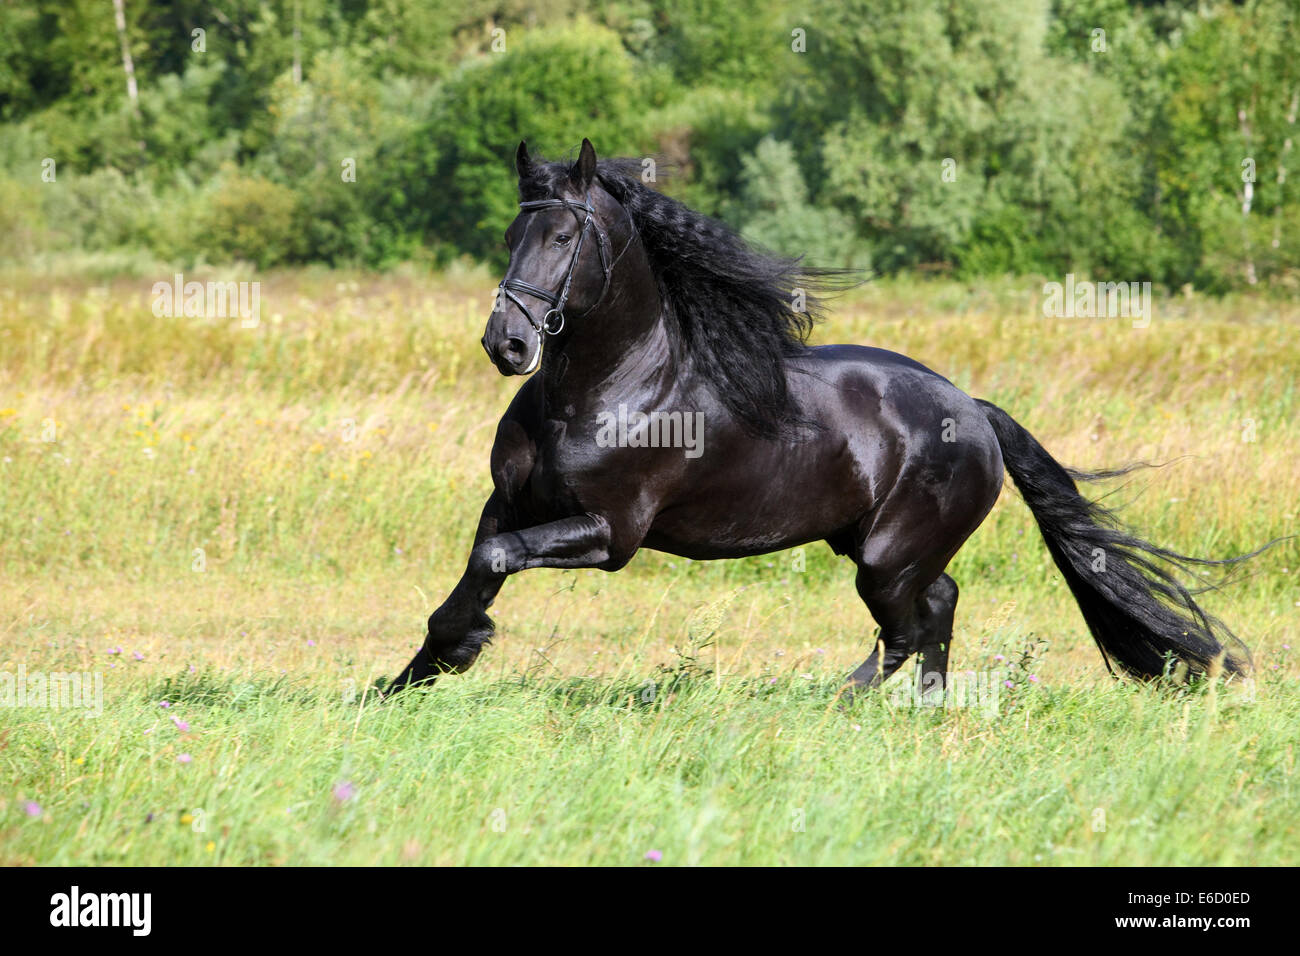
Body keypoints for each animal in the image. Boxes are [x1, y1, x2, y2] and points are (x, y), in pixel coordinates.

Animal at [385, 138, 1253, 700]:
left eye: (564, 235)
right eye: (511, 233)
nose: (507, 343)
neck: (610, 390)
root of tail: (973, 411)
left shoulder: (611, 534)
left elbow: (496, 559)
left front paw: (453, 657)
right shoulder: (511, 503)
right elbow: (481, 563)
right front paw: (414, 674)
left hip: (886, 555)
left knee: (908, 626)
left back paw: (841, 701)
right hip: (874, 547)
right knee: (939, 606)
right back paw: (927, 712)